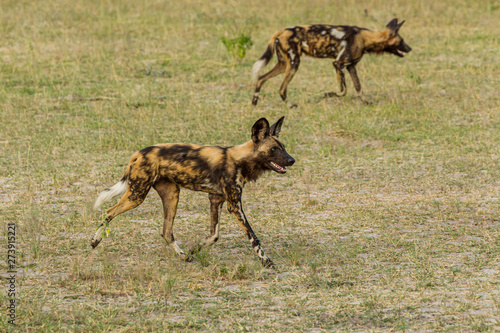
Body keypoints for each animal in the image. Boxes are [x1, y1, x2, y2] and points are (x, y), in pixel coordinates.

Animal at [92, 116, 294, 268]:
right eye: (273, 149)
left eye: (283, 147)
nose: (292, 160)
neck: (240, 160)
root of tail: (139, 153)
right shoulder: (234, 205)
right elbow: (253, 237)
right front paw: (266, 261)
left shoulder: (216, 200)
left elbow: (214, 235)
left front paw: (194, 249)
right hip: (137, 195)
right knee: (108, 212)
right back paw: (94, 241)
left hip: (171, 195)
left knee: (166, 232)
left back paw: (184, 256)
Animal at [252, 18, 412, 106]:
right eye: (402, 41)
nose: (410, 48)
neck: (366, 38)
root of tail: (281, 31)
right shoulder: (338, 64)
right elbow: (343, 90)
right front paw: (328, 94)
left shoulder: (351, 67)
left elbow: (358, 87)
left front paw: (366, 103)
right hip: (293, 64)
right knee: (281, 88)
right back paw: (290, 106)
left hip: (283, 64)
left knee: (261, 78)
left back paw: (254, 104)